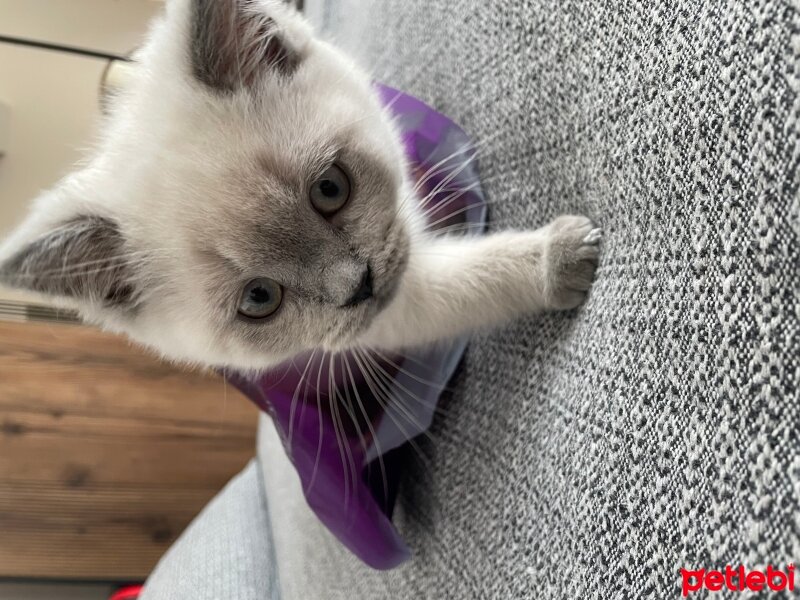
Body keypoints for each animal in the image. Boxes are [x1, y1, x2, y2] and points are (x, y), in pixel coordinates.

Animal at [0, 0, 600, 372]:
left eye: (330, 189)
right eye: (260, 299)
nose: (359, 286)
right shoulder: (389, 315)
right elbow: (468, 283)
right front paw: (561, 257)